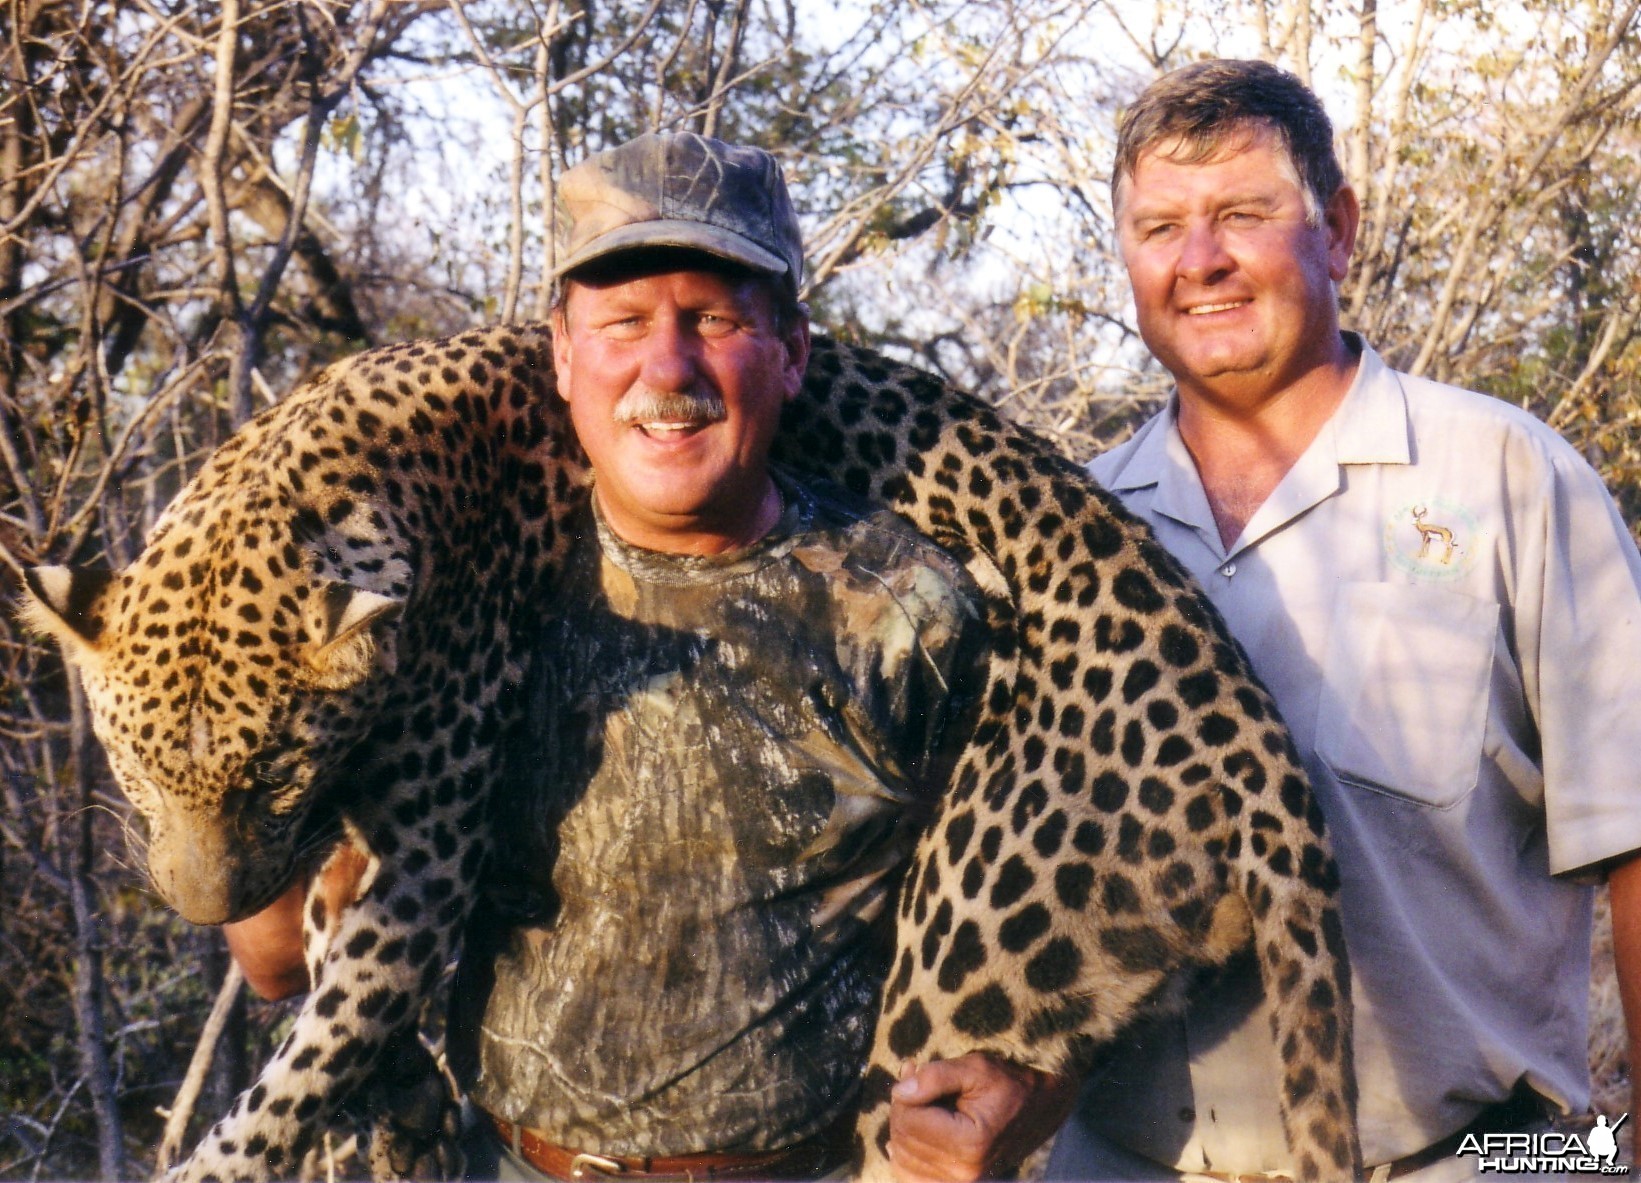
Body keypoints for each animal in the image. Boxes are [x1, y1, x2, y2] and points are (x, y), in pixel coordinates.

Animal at [22, 323, 1358, 1181]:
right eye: (138, 781)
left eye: (274, 776)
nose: (203, 900)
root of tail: (1264, 757)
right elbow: (323, 981)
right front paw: (394, 1111)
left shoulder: (426, 863)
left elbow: (306, 1055)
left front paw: (242, 1149)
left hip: (957, 968)